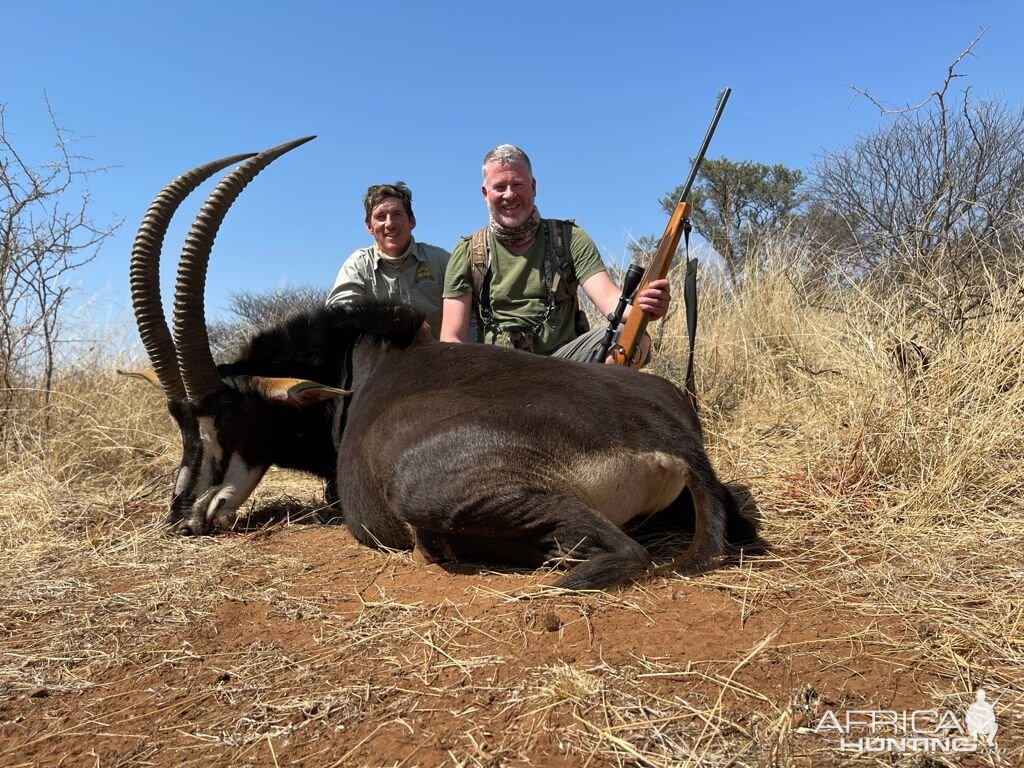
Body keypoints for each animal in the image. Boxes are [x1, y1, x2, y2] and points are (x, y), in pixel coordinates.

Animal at [132, 137, 757, 589]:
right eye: (180, 422)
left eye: (226, 420)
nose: (181, 515)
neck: (354, 366)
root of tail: (669, 441)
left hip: (427, 486)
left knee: (617, 552)